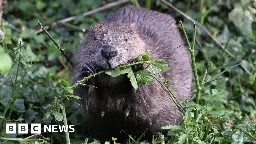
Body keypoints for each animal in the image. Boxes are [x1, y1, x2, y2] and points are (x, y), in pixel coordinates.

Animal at [72, 5, 192, 142]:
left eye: (126, 39)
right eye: (95, 38)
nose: (109, 52)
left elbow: (150, 95)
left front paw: (137, 67)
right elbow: (89, 104)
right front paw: (88, 71)